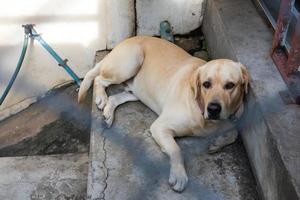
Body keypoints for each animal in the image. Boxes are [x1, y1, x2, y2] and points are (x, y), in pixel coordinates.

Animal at [77, 36, 248, 192]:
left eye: (230, 85)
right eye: (206, 84)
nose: (213, 109)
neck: (203, 115)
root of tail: (127, 40)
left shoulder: (232, 121)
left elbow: (233, 133)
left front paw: (217, 144)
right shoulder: (160, 127)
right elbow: (176, 150)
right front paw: (179, 175)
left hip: (137, 92)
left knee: (114, 97)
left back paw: (108, 114)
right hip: (131, 62)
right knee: (99, 79)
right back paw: (101, 97)